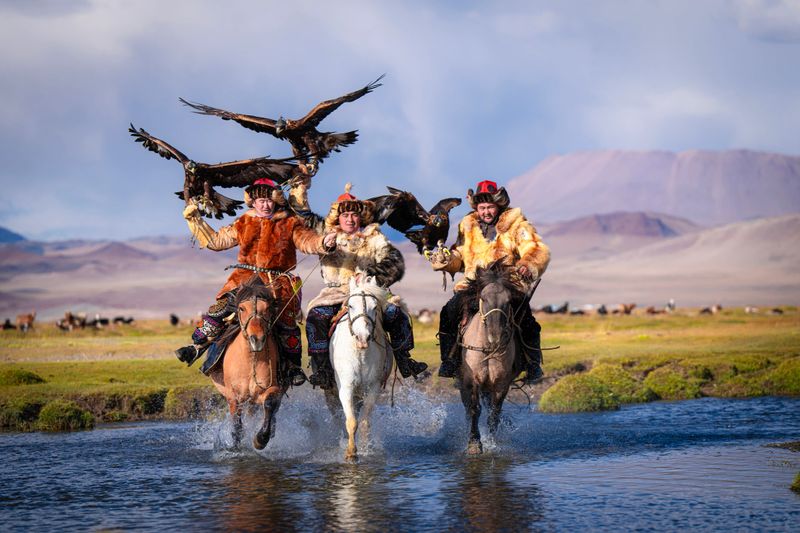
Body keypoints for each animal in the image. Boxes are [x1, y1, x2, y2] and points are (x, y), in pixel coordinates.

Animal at [209, 276, 286, 450]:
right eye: (242, 308)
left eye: (267, 308)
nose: (256, 339)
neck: (251, 362)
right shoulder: (233, 396)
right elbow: (237, 425)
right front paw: (236, 447)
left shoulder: (272, 388)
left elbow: (270, 405)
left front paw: (261, 439)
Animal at [329, 274, 393, 463]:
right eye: (350, 305)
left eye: (375, 307)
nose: (362, 337)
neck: (360, 353)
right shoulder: (346, 387)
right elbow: (351, 421)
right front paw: (351, 453)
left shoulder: (373, 388)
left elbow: (364, 422)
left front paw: (365, 449)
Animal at [457, 262, 529, 455]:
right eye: (483, 297)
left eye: (509, 300)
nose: (495, 336)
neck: (488, 349)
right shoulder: (472, 380)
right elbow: (474, 410)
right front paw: (474, 443)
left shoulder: (501, 383)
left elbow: (494, 413)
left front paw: (492, 442)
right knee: (467, 407)